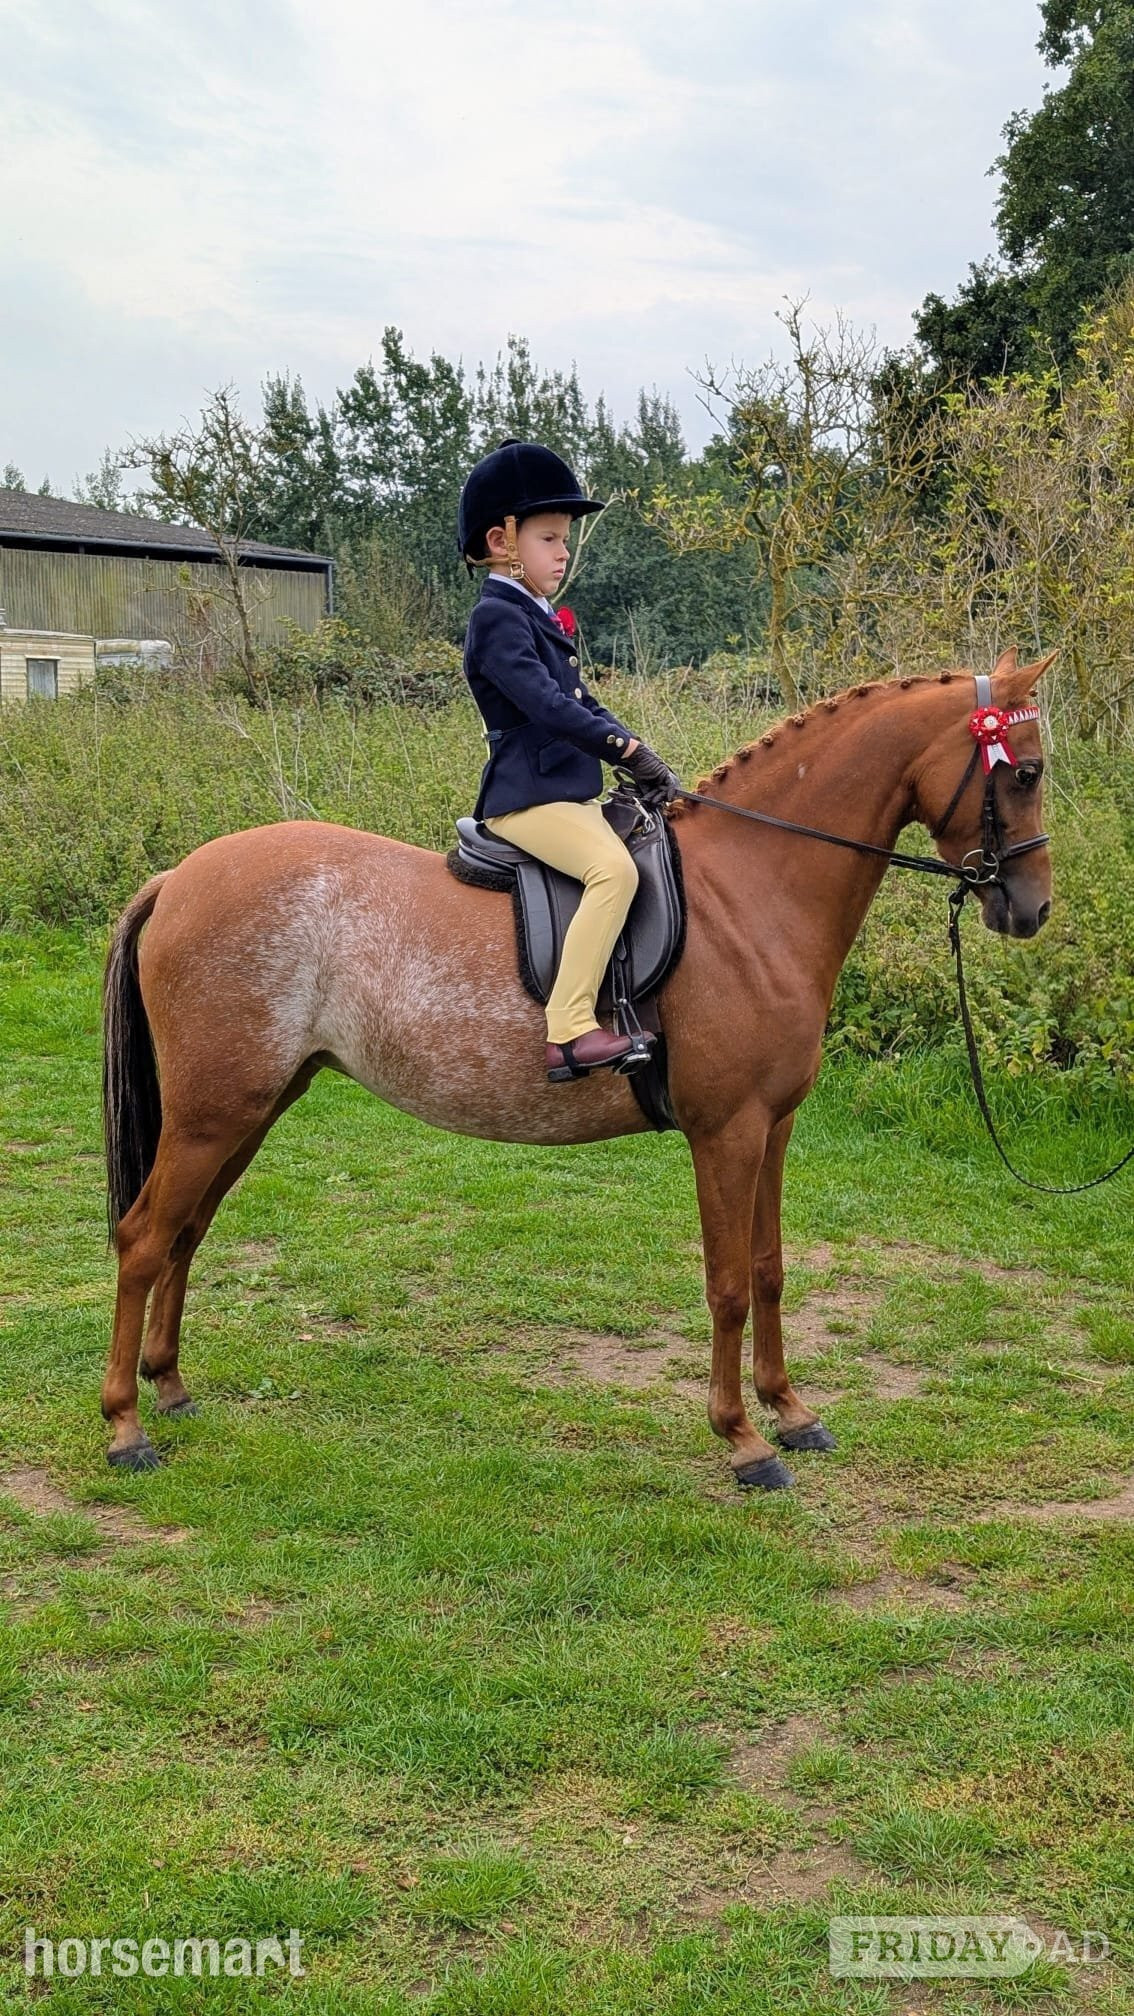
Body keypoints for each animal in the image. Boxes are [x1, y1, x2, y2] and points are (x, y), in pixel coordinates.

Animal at [99, 648, 1052, 1484]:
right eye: (1028, 773)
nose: (1031, 909)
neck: (750, 889)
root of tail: (179, 877)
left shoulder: (774, 1126)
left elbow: (771, 1269)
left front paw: (791, 1412)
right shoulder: (726, 1131)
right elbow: (727, 1285)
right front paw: (743, 1441)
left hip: (251, 1107)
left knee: (187, 1231)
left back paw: (171, 1388)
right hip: (215, 1113)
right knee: (144, 1238)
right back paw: (125, 1428)